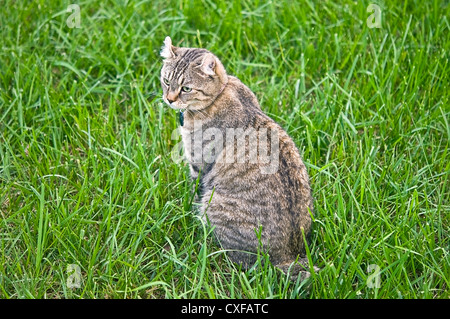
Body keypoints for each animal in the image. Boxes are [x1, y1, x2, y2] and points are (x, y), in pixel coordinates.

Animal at [160, 37, 318, 280]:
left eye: (186, 88)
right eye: (166, 81)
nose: (169, 99)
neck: (221, 92)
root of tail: (287, 256)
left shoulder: (200, 164)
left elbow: (193, 191)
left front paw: (185, 209)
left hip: (215, 204)